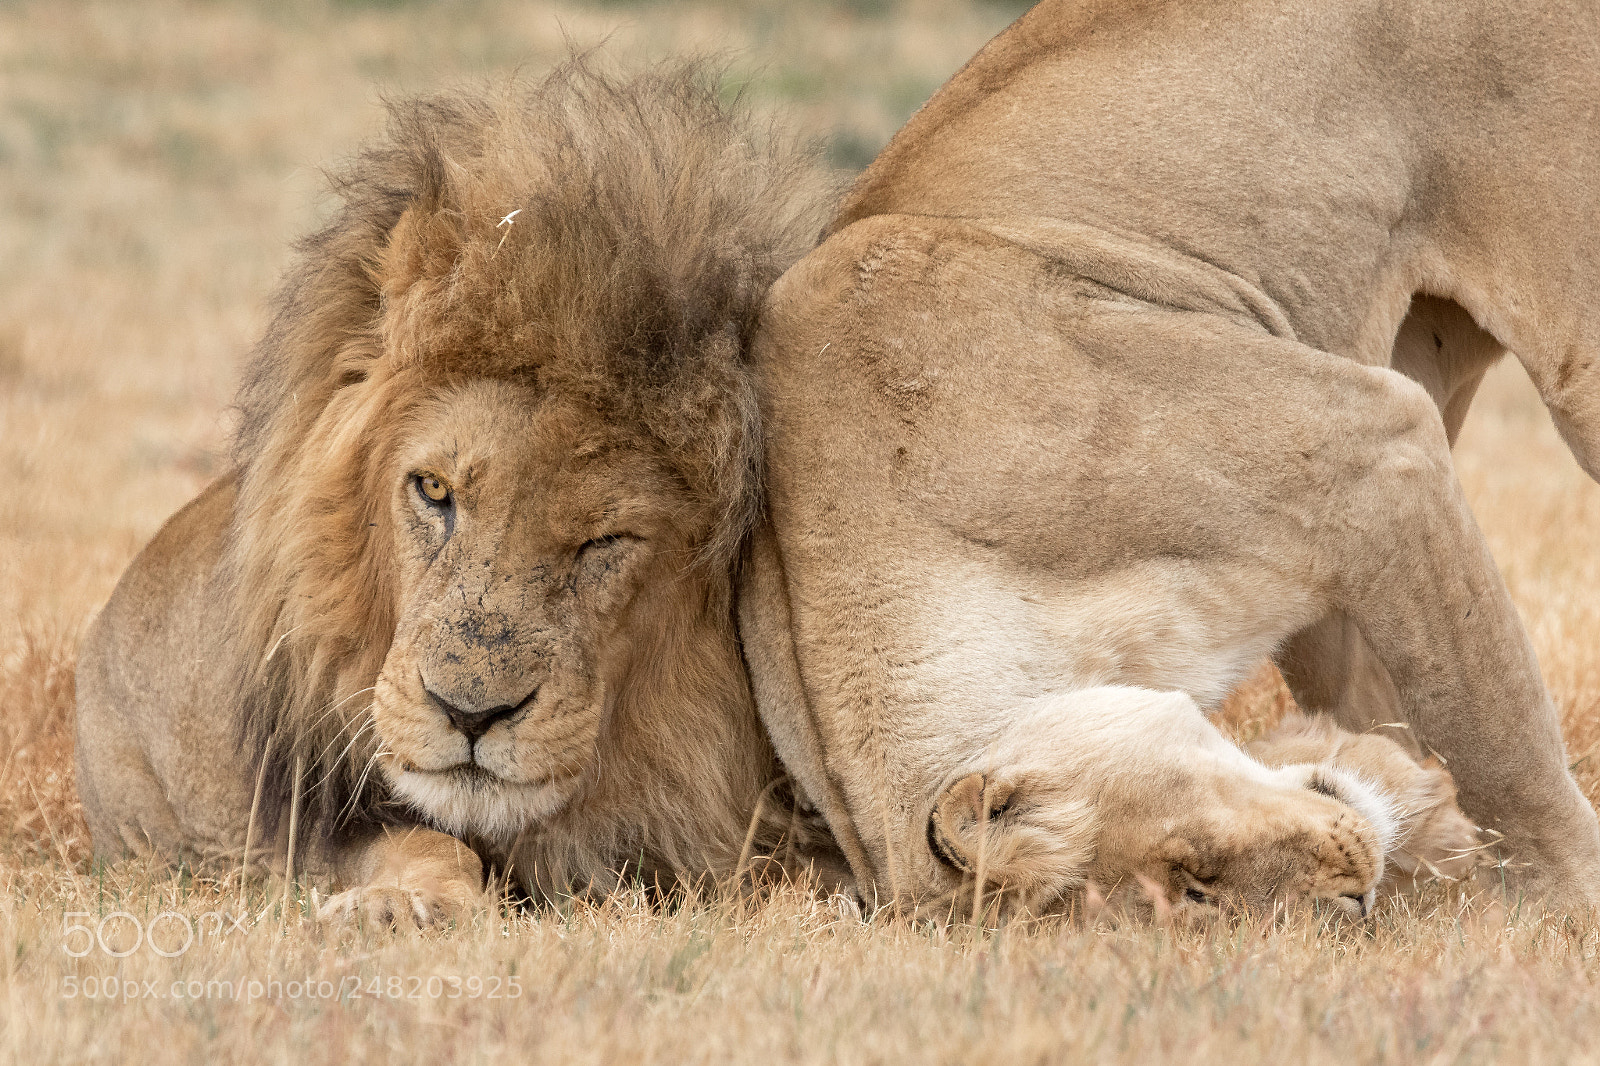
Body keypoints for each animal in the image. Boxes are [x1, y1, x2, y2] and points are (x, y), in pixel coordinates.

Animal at [73, 61, 843, 922]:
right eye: (434, 490)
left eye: (605, 540)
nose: (470, 713)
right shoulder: (324, 814)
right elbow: (423, 840)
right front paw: (398, 909)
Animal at [735, 0, 1600, 916]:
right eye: (1203, 902)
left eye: (1194, 880)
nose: (1352, 897)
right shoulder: (1334, 559)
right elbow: (1384, 709)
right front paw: (1426, 847)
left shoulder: (1370, 450)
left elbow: (1492, 729)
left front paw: (1568, 900)